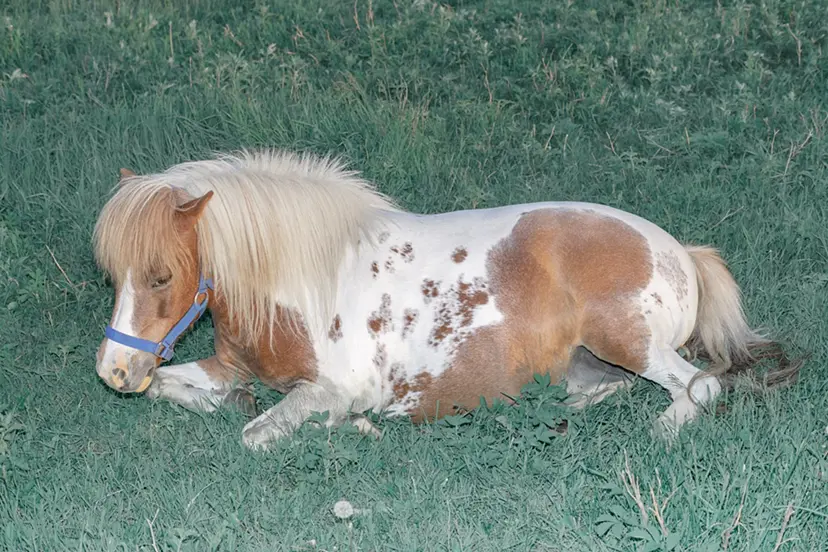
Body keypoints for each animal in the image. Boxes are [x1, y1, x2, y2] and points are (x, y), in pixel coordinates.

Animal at [92, 149, 796, 450]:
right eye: (114, 275)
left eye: (160, 276)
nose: (115, 371)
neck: (298, 283)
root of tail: (681, 252)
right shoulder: (227, 366)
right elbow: (180, 390)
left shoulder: (334, 388)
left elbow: (257, 433)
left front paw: (355, 425)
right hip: (593, 360)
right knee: (606, 388)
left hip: (626, 339)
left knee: (700, 386)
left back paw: (660, 429)